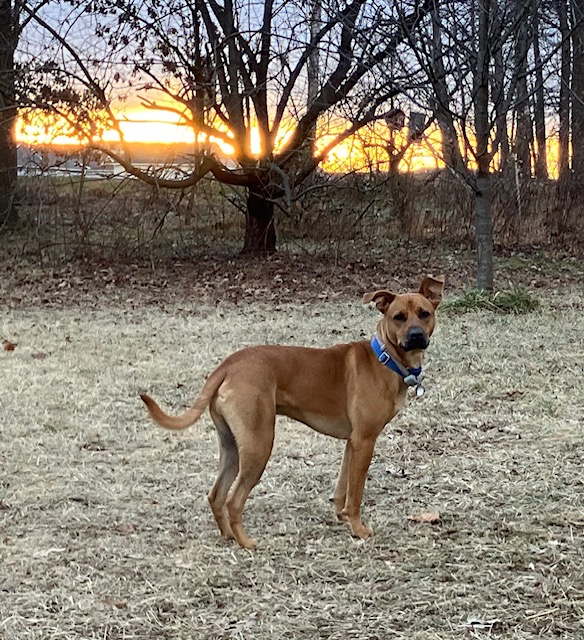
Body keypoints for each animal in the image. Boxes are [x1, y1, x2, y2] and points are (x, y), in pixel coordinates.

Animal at [141, 275, 444, 548]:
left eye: (424, 314)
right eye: (398, 317)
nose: (416, 336)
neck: (386, 359)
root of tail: (228, 365)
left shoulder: (353, 442)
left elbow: (342, 487)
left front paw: (342, 516)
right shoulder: (365, 440)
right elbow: (356, 493)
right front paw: (358, 529)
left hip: (232, 446)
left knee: (216, 494)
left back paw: (228, 535)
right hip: (259, 444)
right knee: (233, 500)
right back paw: (246, 542)